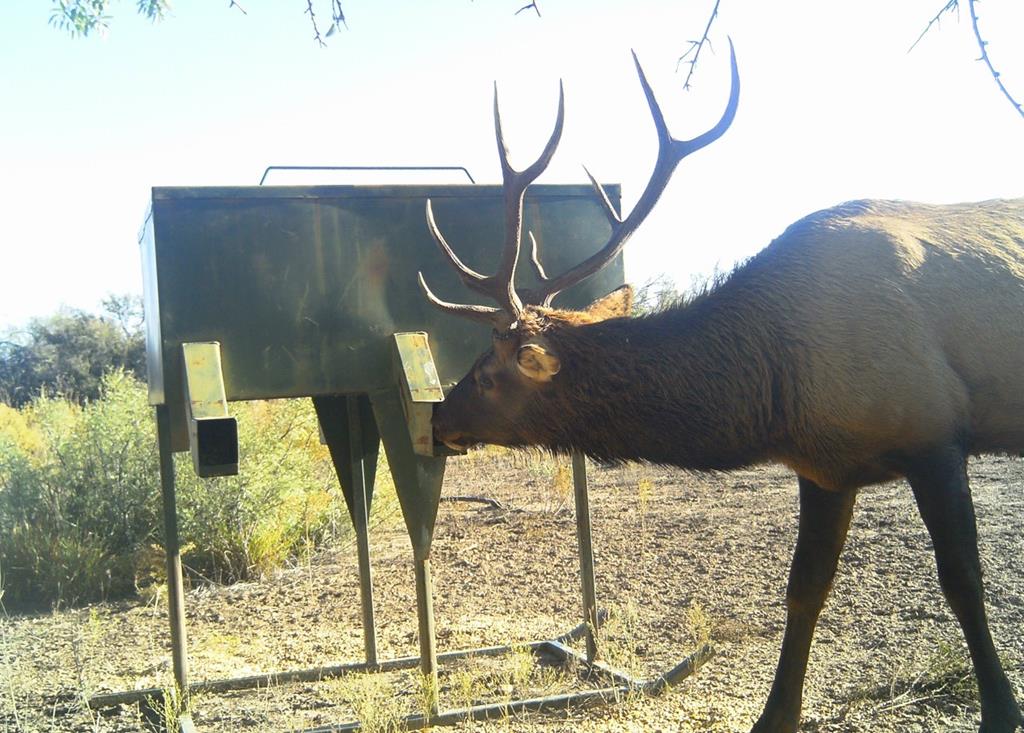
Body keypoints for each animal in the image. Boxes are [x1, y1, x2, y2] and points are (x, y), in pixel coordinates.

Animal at [417, 44, 1024, 733]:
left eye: (489, 373)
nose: (437, 419)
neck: (776, 393)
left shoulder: (935, 436)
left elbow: (963, 580)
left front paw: (1001, 708)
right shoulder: (825, 467)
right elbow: (805, 586)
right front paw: (775, 714)